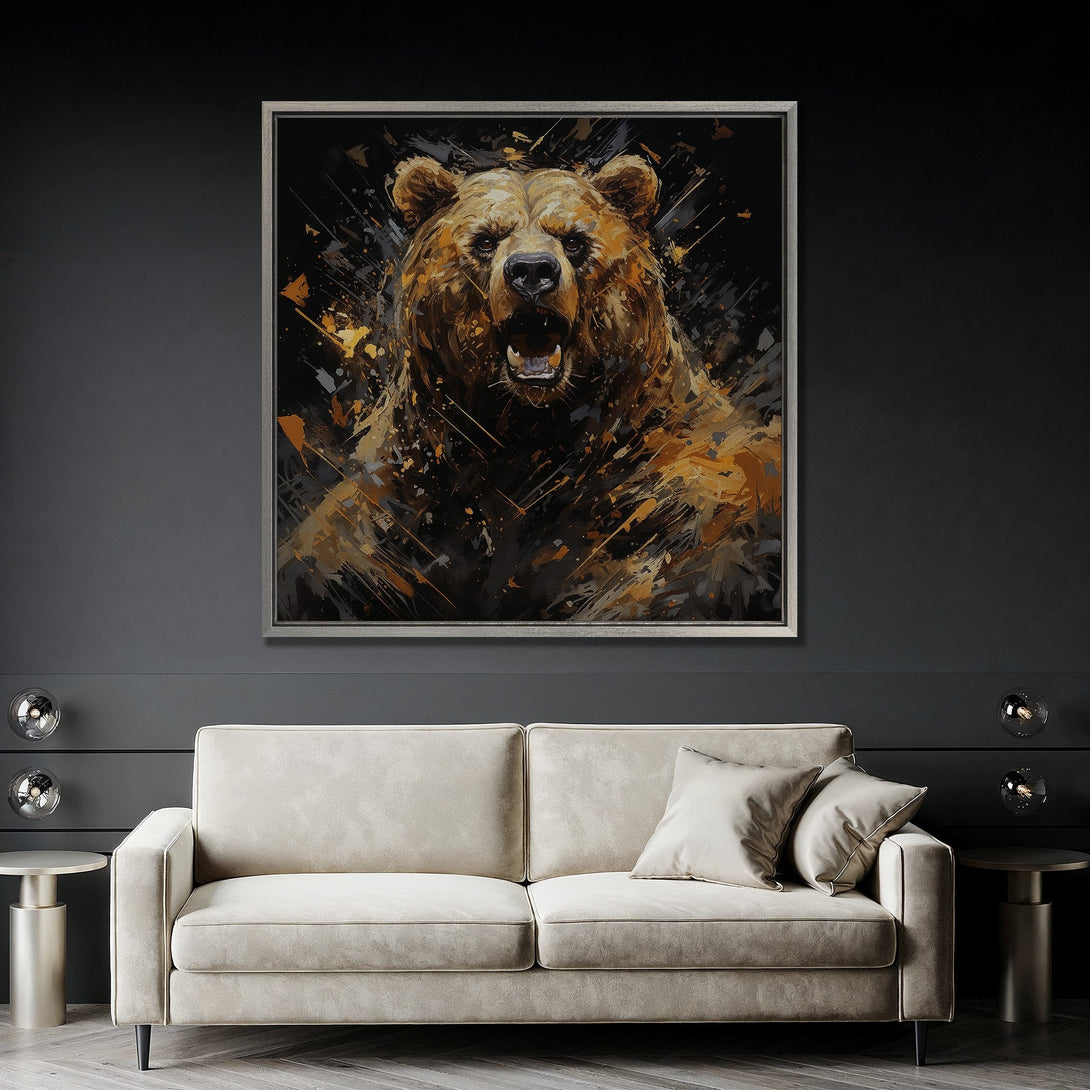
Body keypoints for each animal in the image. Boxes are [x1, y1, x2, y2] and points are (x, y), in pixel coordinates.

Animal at [277, 153, 783, 624]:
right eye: (486, 239)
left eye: (574, 240)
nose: (534, 271)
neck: (528, 430)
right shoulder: (408, 486)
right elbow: (339, 555)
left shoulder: (666, 490)